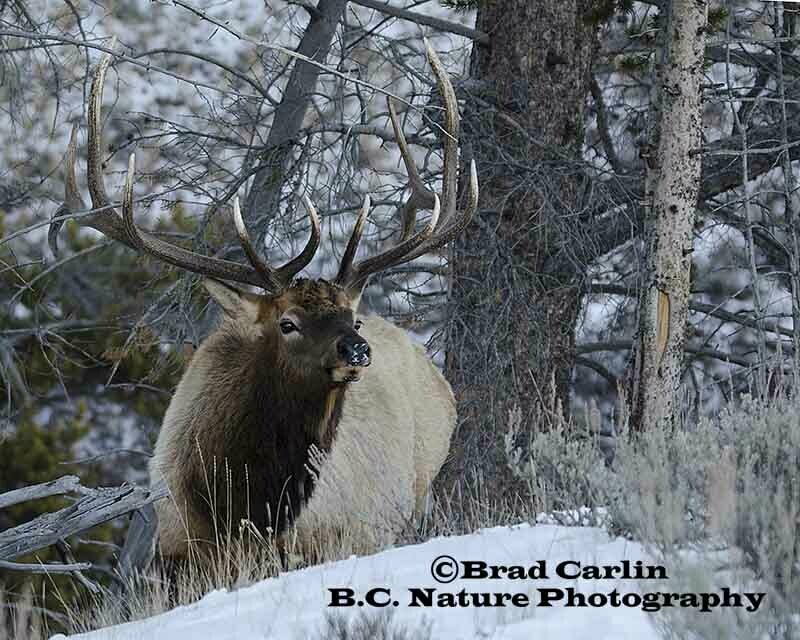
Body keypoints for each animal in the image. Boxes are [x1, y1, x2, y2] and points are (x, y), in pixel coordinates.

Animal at [51, 42, 478, 562]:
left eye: (352, 318)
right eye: (287, 323)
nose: (357, 349)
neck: (239, 509)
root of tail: (436, 374)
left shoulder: (334, 542)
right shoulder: (173, 551)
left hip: (414, 495)